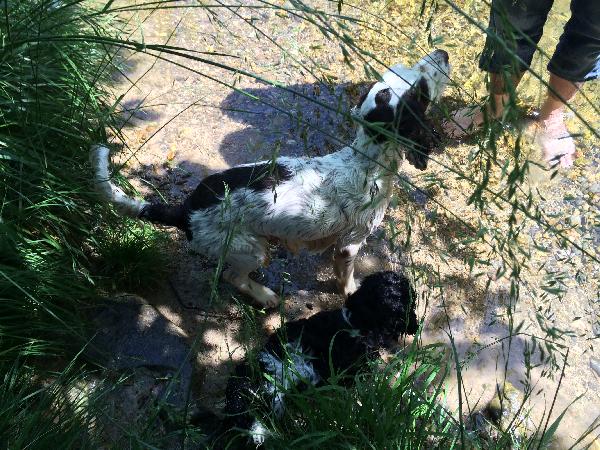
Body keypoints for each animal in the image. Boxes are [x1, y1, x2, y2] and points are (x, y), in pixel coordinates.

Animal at [91, 50, 450, 308]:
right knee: (234, 278)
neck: (365, 161)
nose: (443, 53)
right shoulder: (351, 242)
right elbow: (346, 277)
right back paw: (265, 295)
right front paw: (350, 290)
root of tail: (185, 210)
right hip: (251, 250)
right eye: (421, 88)